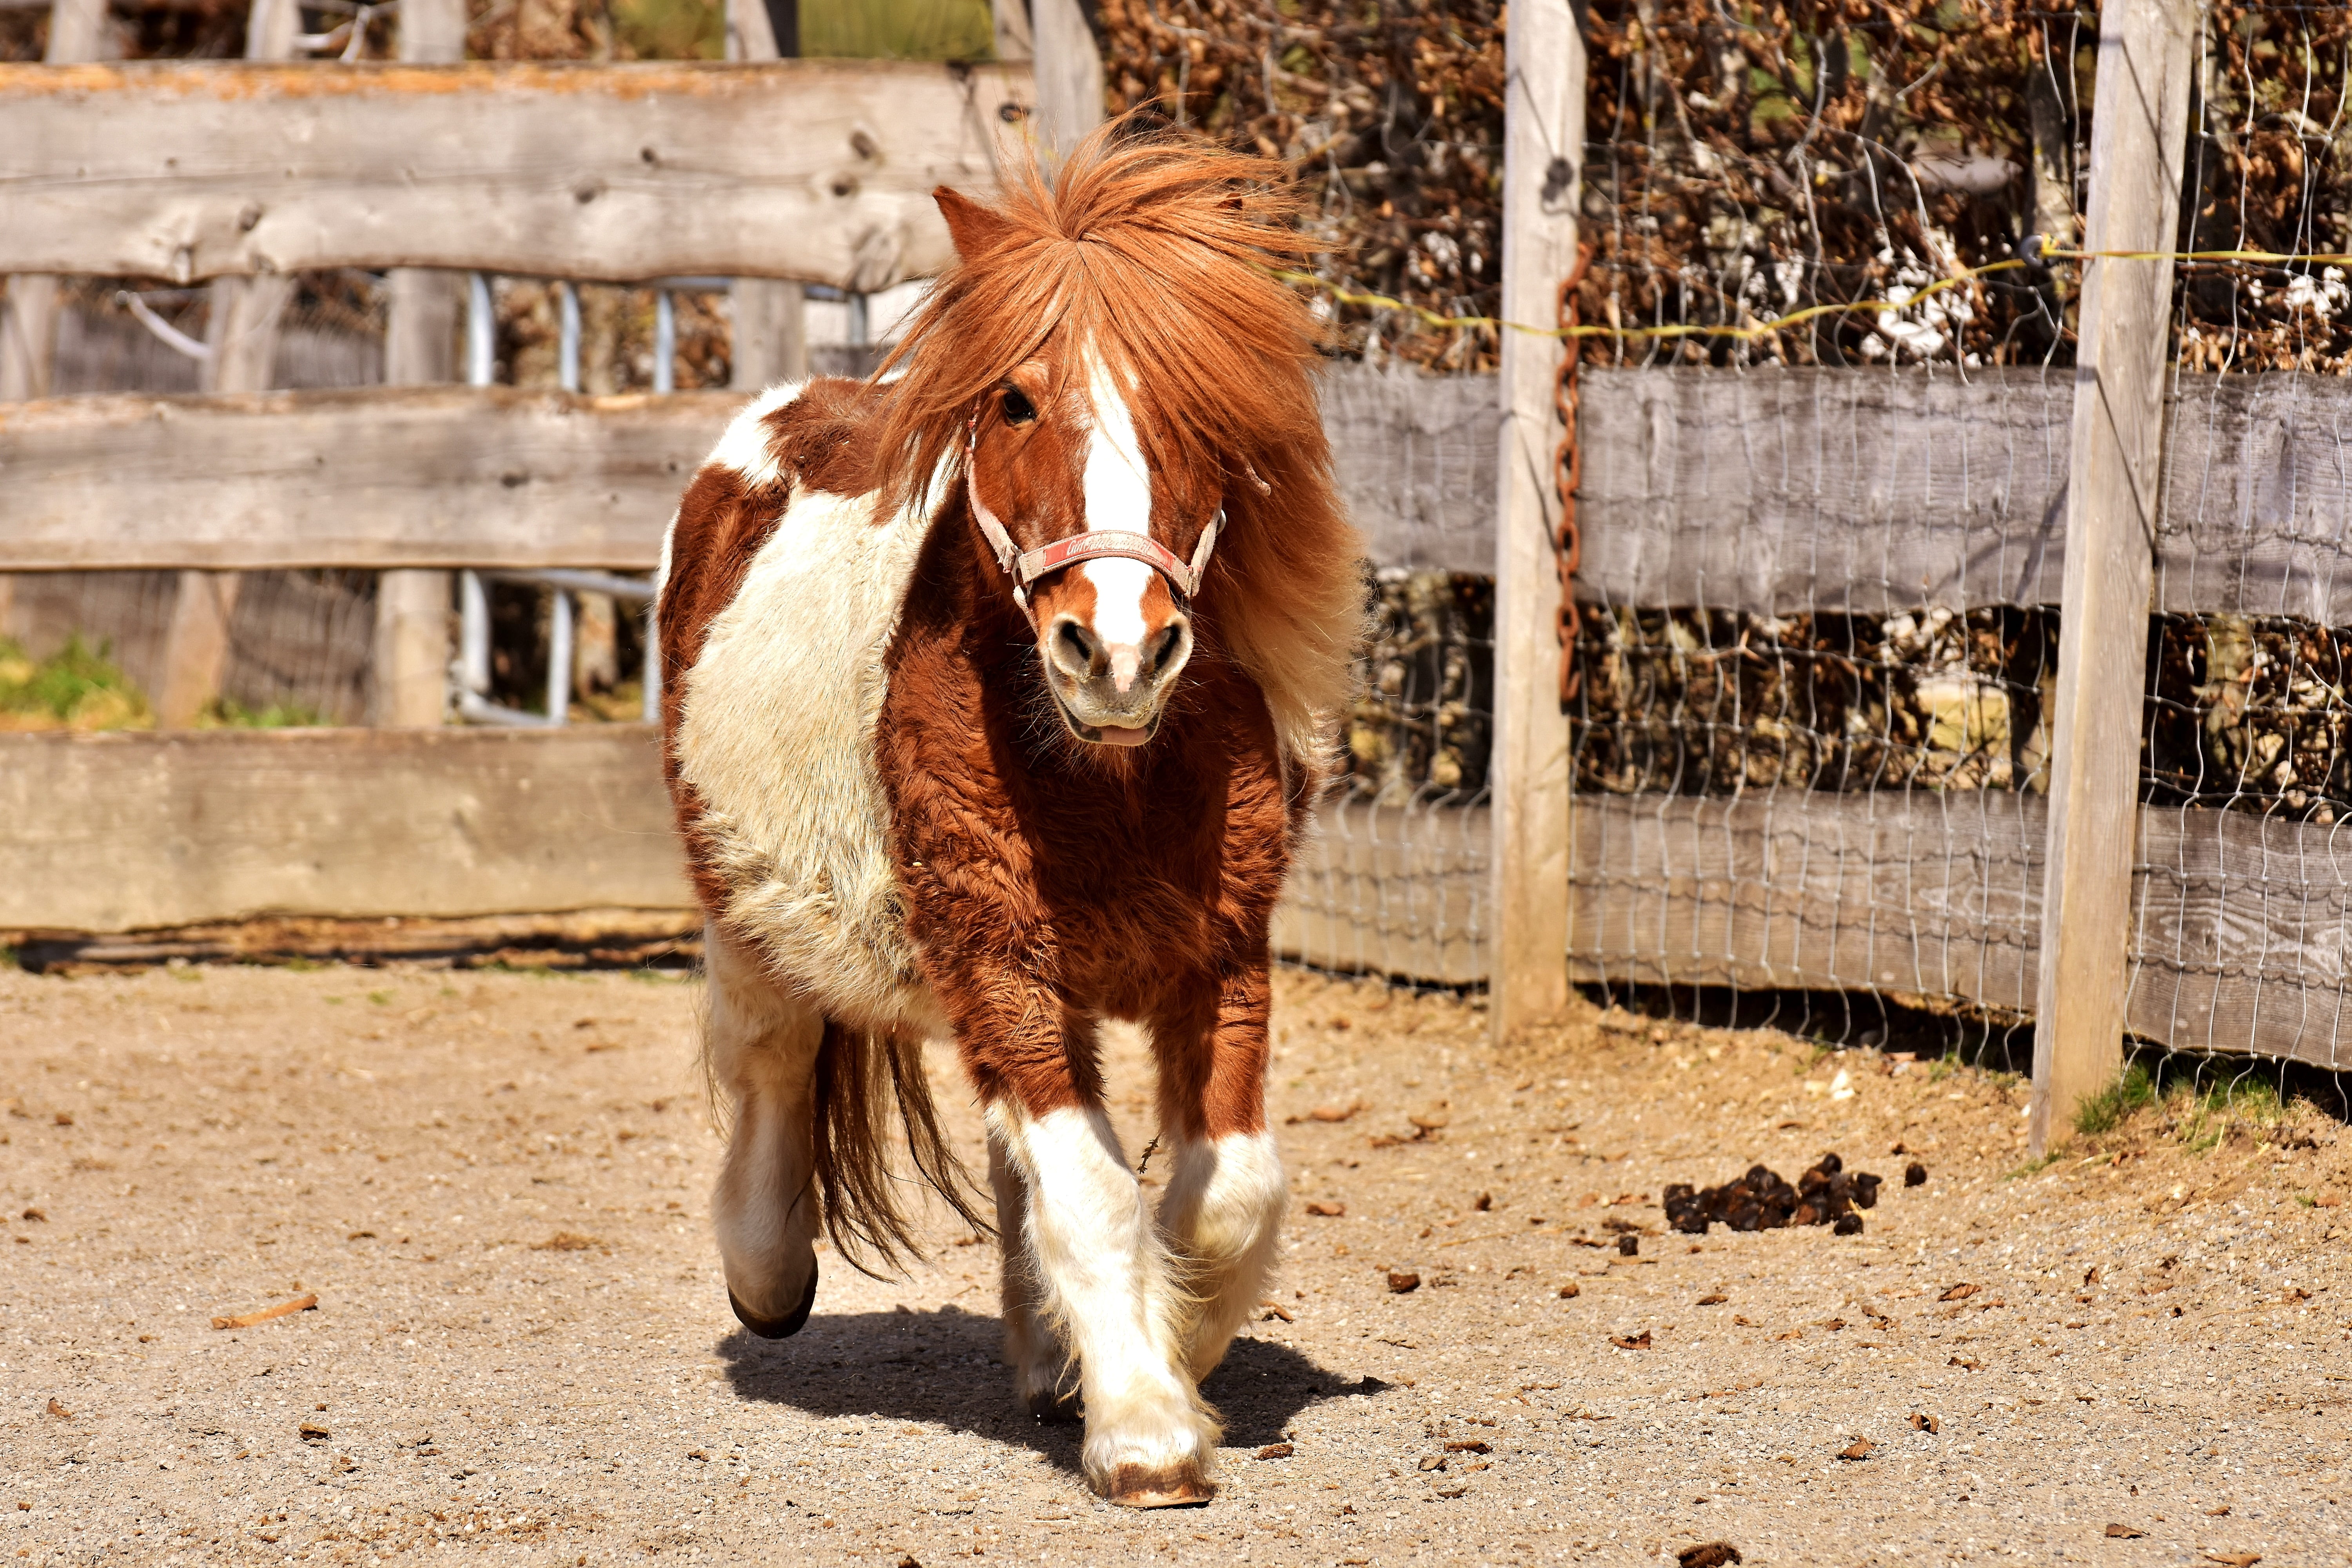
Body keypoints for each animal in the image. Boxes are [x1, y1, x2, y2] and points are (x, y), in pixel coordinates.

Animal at [654, 128, 1364, 1509]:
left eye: (1200, 410)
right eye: (1018, 402)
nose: (1119, 650)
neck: (1110, 778)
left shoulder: (1224, 961)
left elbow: (1226, 1189)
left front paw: (1168, 1342)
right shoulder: (1001, 961)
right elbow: (1090, 1185)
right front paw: (1146, 1426)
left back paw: (1049, 1355)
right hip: (748, 906)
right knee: (770, 1061)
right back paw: (770, 1275)